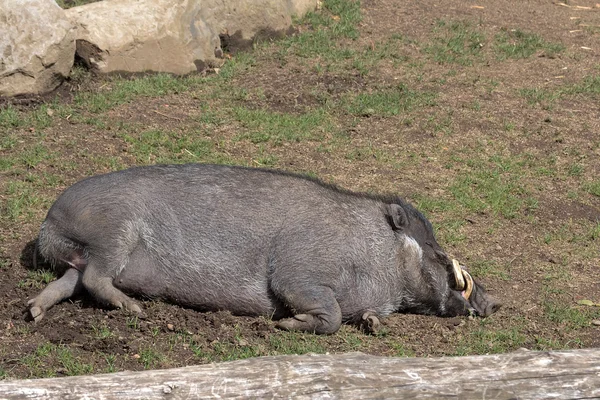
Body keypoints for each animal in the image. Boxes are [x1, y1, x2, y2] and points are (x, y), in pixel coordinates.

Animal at [28, 163, 500, 334]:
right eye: (434, 251)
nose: (495, 302)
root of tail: (48, 221)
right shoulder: (298, 273)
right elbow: (327, 316)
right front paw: (285, 325)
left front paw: (373, 324)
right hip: (114, 235)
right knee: (95, 278)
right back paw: (136, 310)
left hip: (85, 255)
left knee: (71, 281)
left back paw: (34, 313)